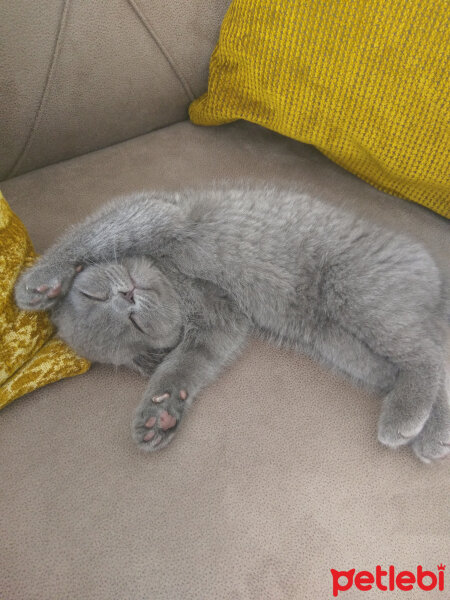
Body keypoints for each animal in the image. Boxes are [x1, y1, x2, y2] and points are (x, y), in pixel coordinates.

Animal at [14, 185, 450, 462]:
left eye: (95, 295)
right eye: (135, 326)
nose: (127, 296)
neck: (176, 278)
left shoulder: (157, 214)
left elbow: (93, 234)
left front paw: (41, 283)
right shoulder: (221, 324)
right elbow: (184, 365)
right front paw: (159, 414)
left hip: (355, 292)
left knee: (429, 355)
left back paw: (404, 422)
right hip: (342, 344)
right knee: (428, 361)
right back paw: (434, 434)